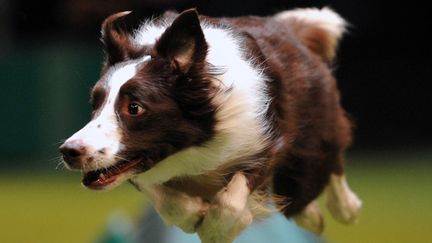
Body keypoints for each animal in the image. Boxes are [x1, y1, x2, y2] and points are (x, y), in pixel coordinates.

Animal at [60, 8, 362, 243]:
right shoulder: (139, 165)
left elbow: (232, 198)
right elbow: (163, 196)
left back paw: (343, 207)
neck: (193, 144)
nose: (69, 151)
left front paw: (217, 229)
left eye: (134, 107)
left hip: (317, 121)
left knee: (328, 159)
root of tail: (289, 29)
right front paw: (194, 214)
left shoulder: (266, 138)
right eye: (95, 104)